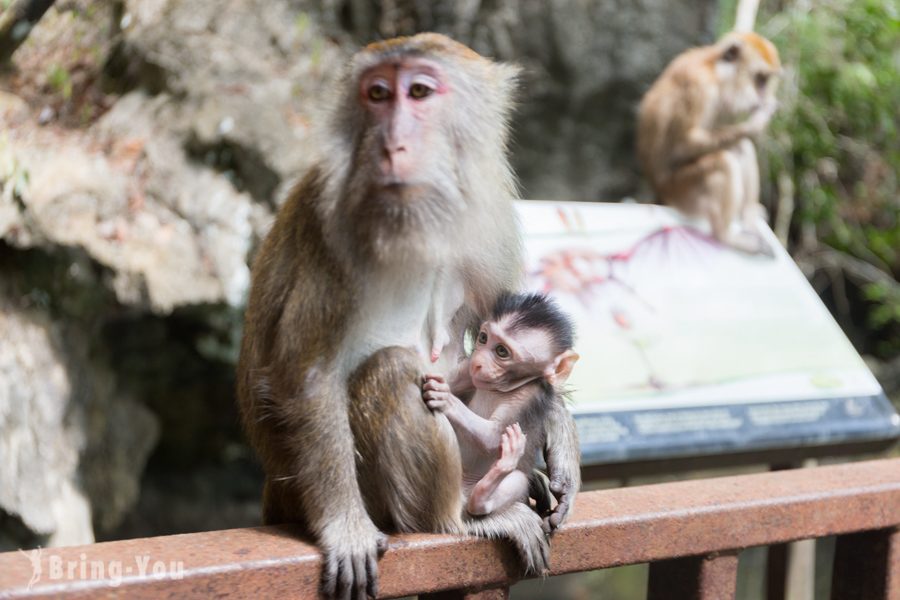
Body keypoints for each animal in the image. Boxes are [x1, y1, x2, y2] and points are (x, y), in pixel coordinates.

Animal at [422, 292, 576, 576]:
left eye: (502, 352)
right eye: (483, 339)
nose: (478, 362)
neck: (501, 387)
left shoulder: (527, 396)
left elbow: (493, 438)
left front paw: (446, 399)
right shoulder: (467, 373)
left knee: (514, 481)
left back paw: (490, 486)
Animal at [640, 31, 780, 255]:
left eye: (765, 81)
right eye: (759, 79)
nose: (763, 96)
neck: (718, 75)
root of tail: (659, 191)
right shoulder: (700, 87)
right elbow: (682, 144)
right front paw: (757, 124)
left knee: (741, 148)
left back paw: (748, 216)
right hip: (681, 192)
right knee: (724, 161)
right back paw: (725, 236)